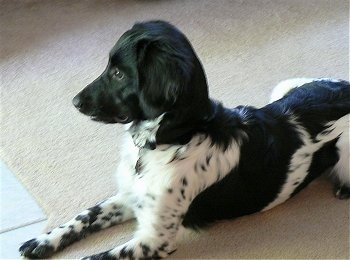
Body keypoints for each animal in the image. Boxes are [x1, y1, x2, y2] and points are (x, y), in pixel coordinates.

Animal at [19, 20, 350, 260]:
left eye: (118, 73)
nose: (75, 102)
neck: (167, 141)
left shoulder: (153, 239)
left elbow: (96, 257)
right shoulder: (130, 196)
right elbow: (85, 216)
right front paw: (43, 240)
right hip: (283, 87)